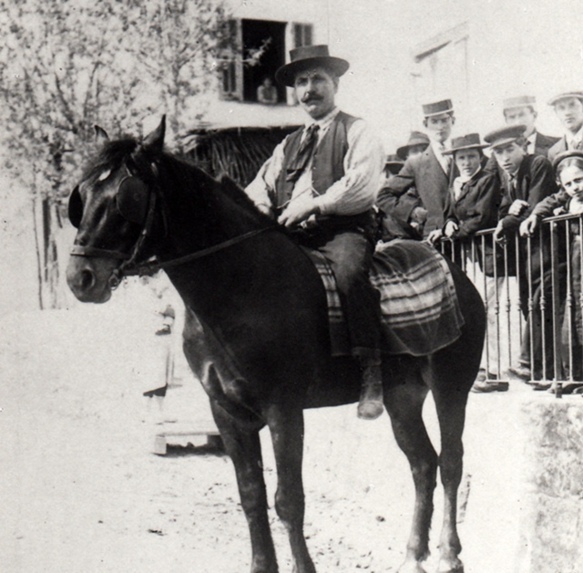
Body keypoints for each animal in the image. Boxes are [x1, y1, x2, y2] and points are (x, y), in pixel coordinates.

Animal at [66, 117, 486, 572]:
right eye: (83, 195)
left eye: (126, 196)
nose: (79, 278)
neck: (243, 287)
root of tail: (458, 276)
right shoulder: (227, 412)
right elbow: (251, 495)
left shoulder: (283, 409)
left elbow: (288, 501)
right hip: (402, 397)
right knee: (423, 464)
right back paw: (413, 553)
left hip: (451, 388)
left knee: (451, 462)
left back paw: (449, 553)